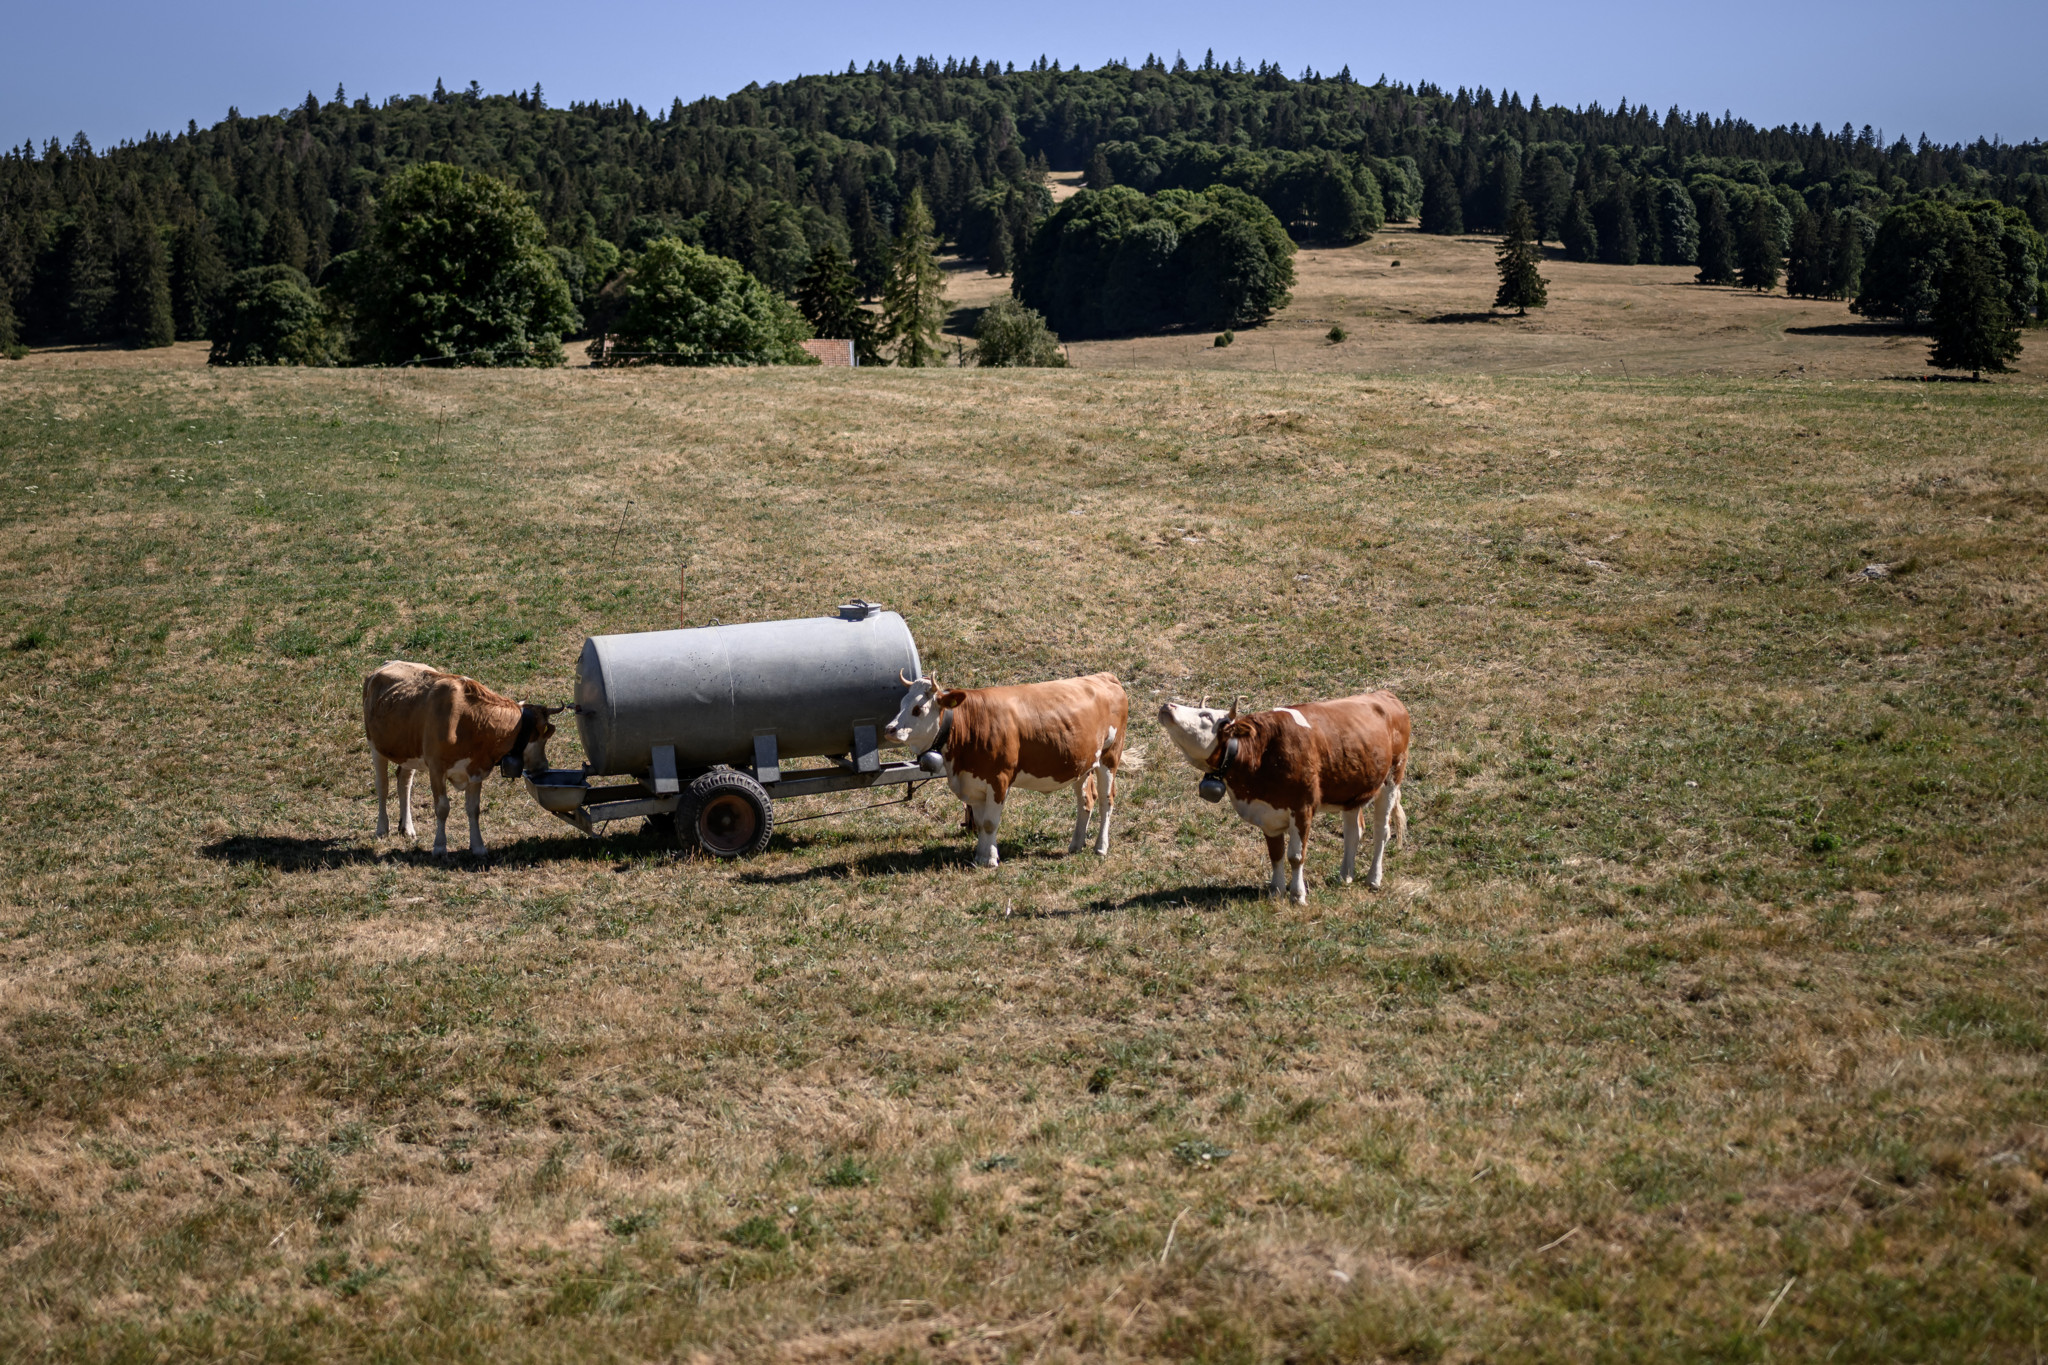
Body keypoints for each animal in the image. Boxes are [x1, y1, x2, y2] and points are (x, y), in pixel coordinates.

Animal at [362, 661, 562, 858]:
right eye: (544, 737)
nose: (544, 766)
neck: (469, 720)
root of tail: (386, 664)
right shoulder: (436, 768)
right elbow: (442, 808)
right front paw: (440, 847)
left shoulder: (475, 769)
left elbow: (474, 809)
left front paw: (478, 846)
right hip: (375, 746)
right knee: (382, 786)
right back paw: (382, 829)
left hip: (408, 751)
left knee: (404, 783)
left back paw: (407, 828)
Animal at [883, 672, 1127, 868]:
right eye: (901, 703)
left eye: (917, 709)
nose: (889, 729)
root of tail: (1104, 676)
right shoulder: (974, 784)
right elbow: (981, 823)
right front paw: (980, 857)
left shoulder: (999, 780)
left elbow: (990, 824)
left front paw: (990, 859)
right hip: (1083, 763)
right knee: (1086, 800)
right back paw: (1076, 844)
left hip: (1110, 756)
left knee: (1106, 801)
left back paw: (1100, 847)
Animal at [1157, 692, 1410, 904]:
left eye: (1207, 715)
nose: (1167, 706)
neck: (1261, 754)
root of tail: (1385, 695)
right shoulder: (1268, 813)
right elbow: (1276, 854)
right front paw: (1275, 891)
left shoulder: (1303, 808)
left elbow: (1296, 856)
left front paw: (1297, 895)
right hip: (1352, 790)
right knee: (1353, 832)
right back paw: (1345, 876)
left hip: (1392, 779)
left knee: (1382, 831)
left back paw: (1373, 879)